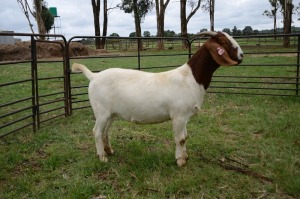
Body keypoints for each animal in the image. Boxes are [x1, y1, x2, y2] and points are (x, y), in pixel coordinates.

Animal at [72, 31, 244, 166]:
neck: (190, 78)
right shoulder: (178, 116)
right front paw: (180, 161)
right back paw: (102, 157)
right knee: (96, 131)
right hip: (101, 111)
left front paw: (185, 156)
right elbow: (180, 139)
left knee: (105, 132)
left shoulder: (184, 117)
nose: (242, 55)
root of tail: (94, 76)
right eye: (223, 42)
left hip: (111, 113)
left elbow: (185, 137)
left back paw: (109, 151)